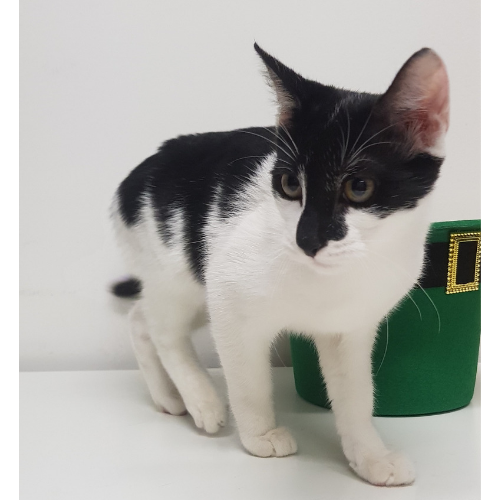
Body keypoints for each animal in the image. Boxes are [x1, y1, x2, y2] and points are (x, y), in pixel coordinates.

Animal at [111, 43, 449, 486]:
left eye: (358, 187)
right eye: (289, 185)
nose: (306, 239)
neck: (333, 279)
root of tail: (139, 173)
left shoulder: (352, 329)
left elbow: (356, 396)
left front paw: (370, 456)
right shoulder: (229, 301)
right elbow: (248, 381)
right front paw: (260, 436)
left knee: (140, 318)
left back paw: (168, 396)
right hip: (177, 271)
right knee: (163, 330)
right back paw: (201, 399)